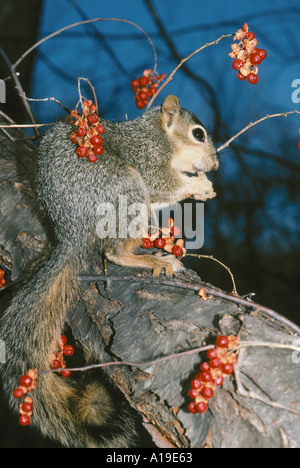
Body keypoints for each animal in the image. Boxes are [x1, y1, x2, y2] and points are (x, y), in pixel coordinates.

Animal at [0, 94, 217, 446]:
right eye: (198, 134)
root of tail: (73, 231)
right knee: (115, 252)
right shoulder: (148, 159)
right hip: (124, 188)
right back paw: (154, 260)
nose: (214, 165)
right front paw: (198, 185)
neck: (158, 136)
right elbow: (164, 184)